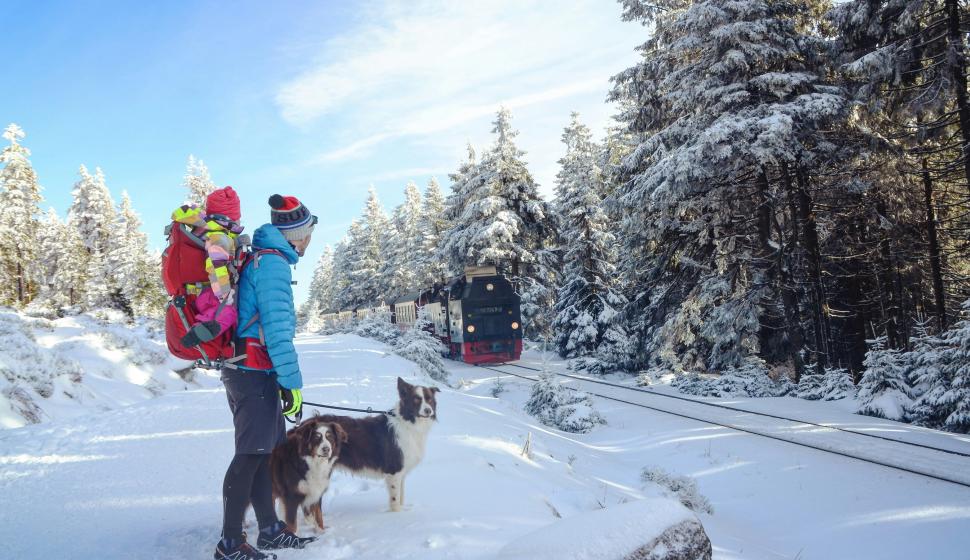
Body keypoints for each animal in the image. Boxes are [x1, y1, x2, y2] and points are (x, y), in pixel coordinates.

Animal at [318, 376, 438, 512]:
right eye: (416, 400)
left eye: (429, 399)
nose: (428, 410)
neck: (408, 423)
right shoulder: (394, 470)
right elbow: (395, 499)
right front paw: (397, 514)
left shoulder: (402, 471)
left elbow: (401, 495)